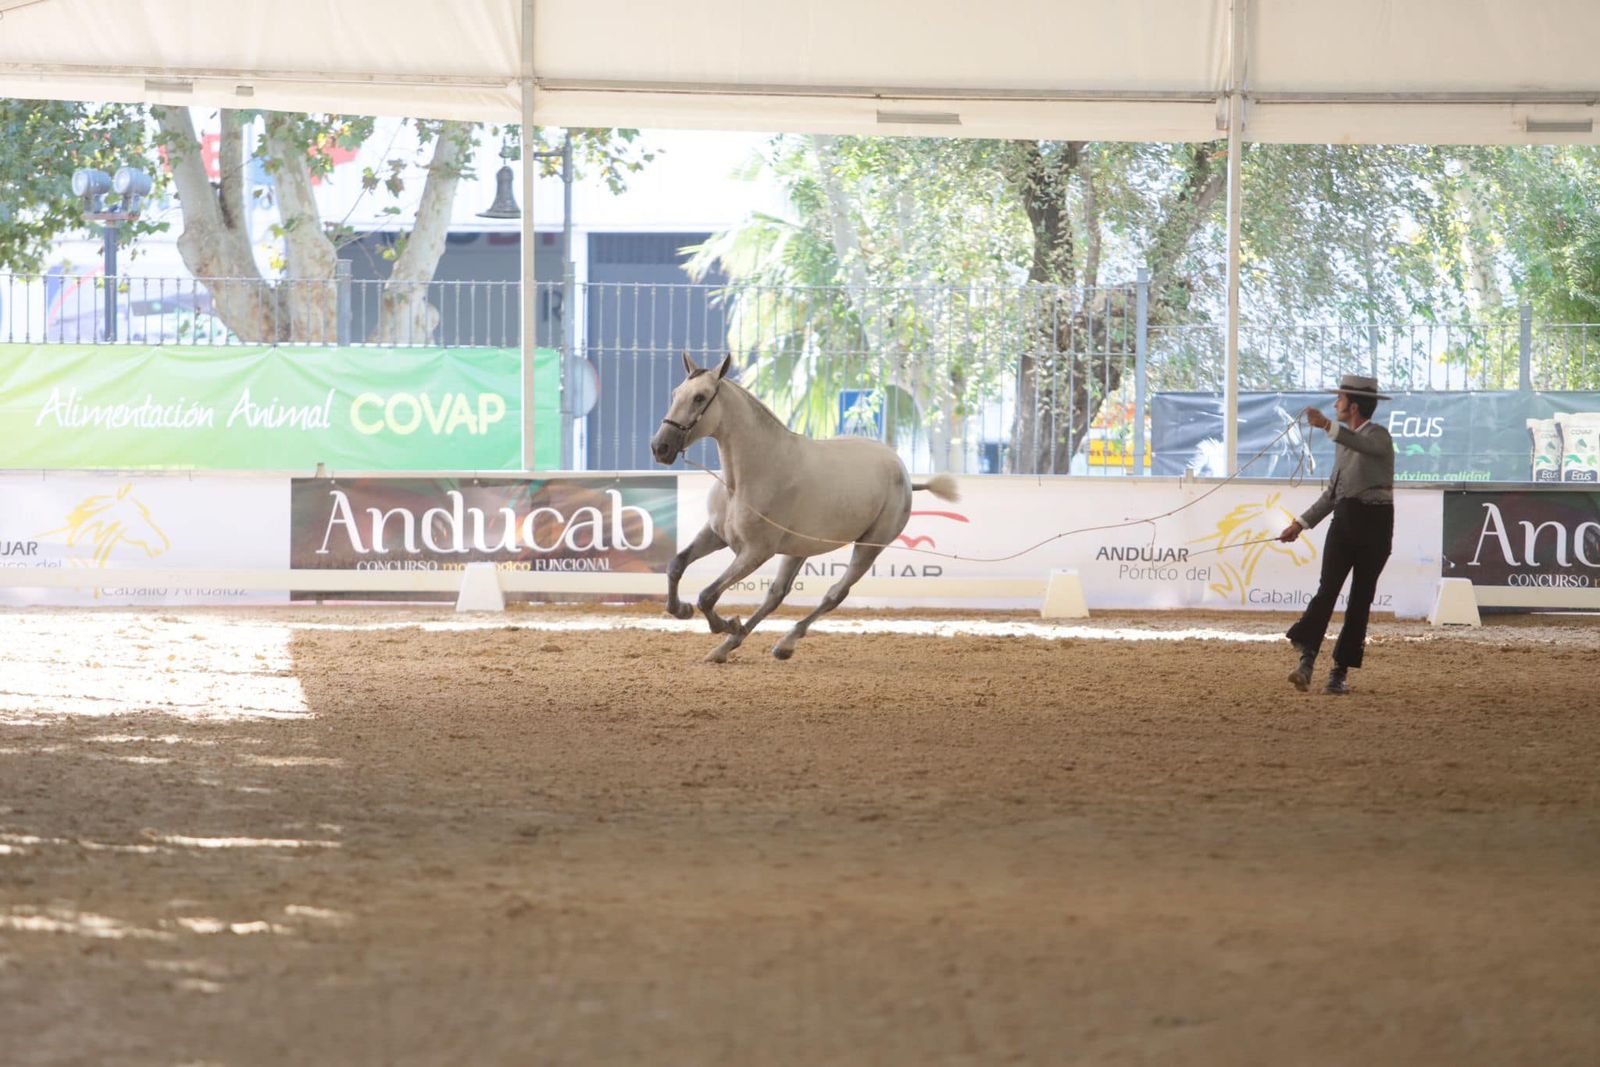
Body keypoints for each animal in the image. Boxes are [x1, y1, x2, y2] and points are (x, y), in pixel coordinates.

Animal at [650, 353, 959, 663]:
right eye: (676, 393)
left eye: (700, 398)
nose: (660, 447)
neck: (742, 481)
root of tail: (903, 473)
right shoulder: (716, 535)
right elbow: (676, 566)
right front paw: (682, 610)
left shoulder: (755, 552)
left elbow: (707, 595)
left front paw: (728, 623)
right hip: (799, 549)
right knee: (777, 594)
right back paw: (727, 646)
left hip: (870, 546)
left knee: (834, 594)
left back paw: (782, 643)